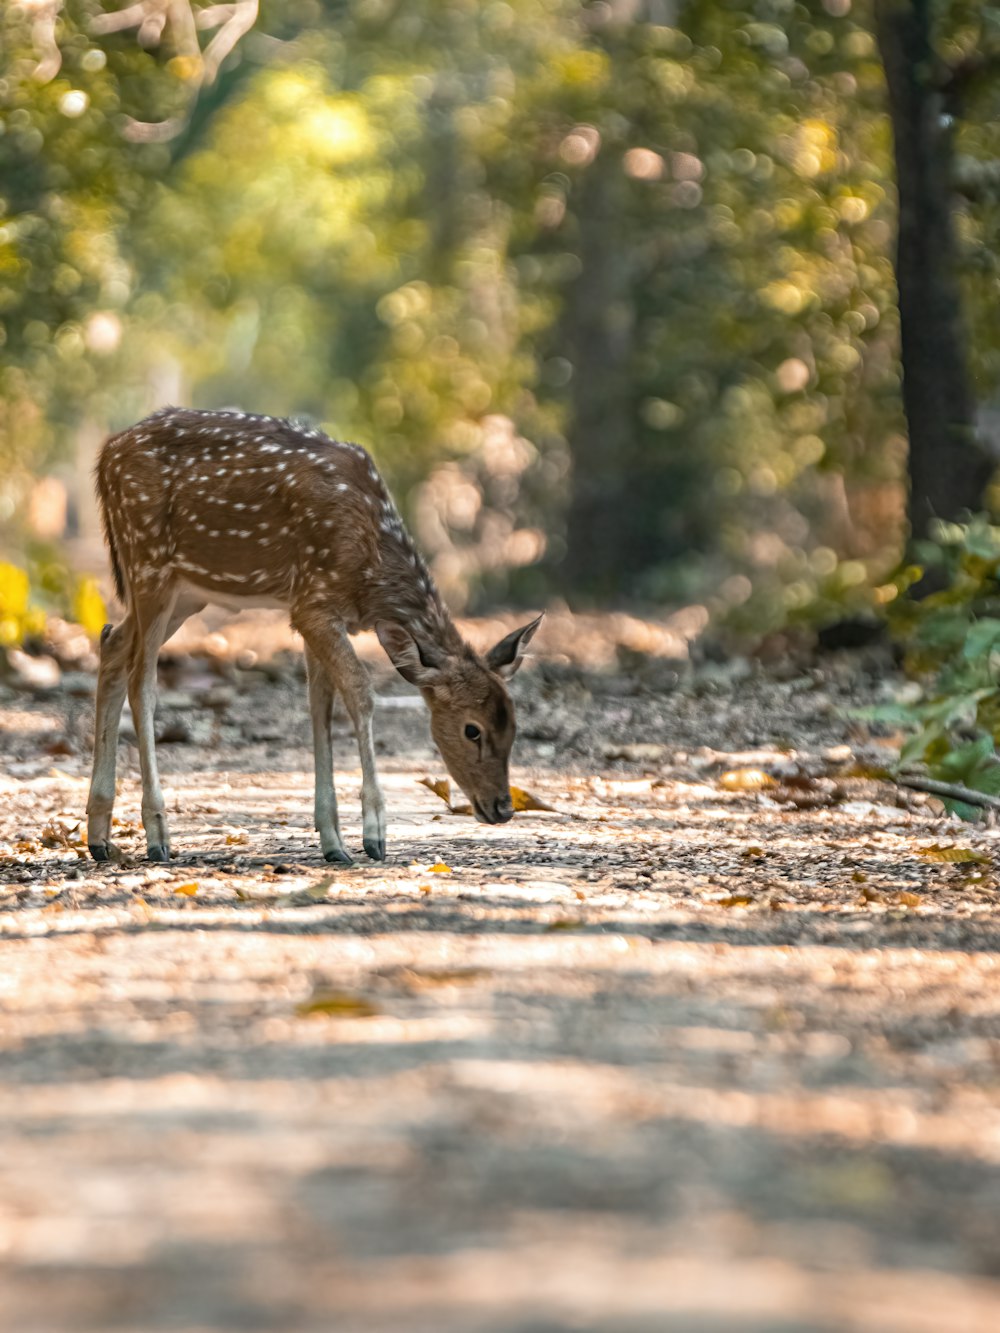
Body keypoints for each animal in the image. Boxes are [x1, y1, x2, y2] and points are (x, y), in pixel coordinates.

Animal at [87, 405, 544, 863]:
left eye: (514, 723)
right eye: (472, 730)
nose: (503, 808)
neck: (369, 576)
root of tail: (106, 454)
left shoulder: (315, 610)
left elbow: (319, 707)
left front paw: (334, 843)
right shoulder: (312, 603)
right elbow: (359, 692)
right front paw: (374, 835)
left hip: (187, 591)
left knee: (112, 642)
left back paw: (99, 837)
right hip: (147, 560)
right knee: (142, 680)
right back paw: (157, 835)